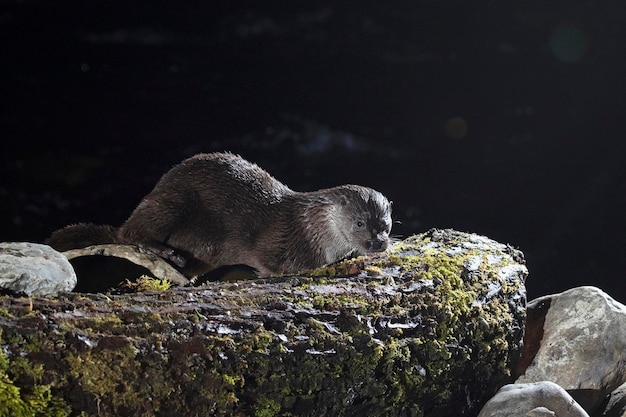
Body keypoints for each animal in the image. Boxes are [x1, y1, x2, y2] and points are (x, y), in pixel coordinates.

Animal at [47, 152, 390, 276]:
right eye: (360, 223)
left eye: (385, 225)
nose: (378, 243)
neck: (309, 227)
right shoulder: (279, 243)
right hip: (173, 200)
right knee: (133, 233)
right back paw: (163, 251)